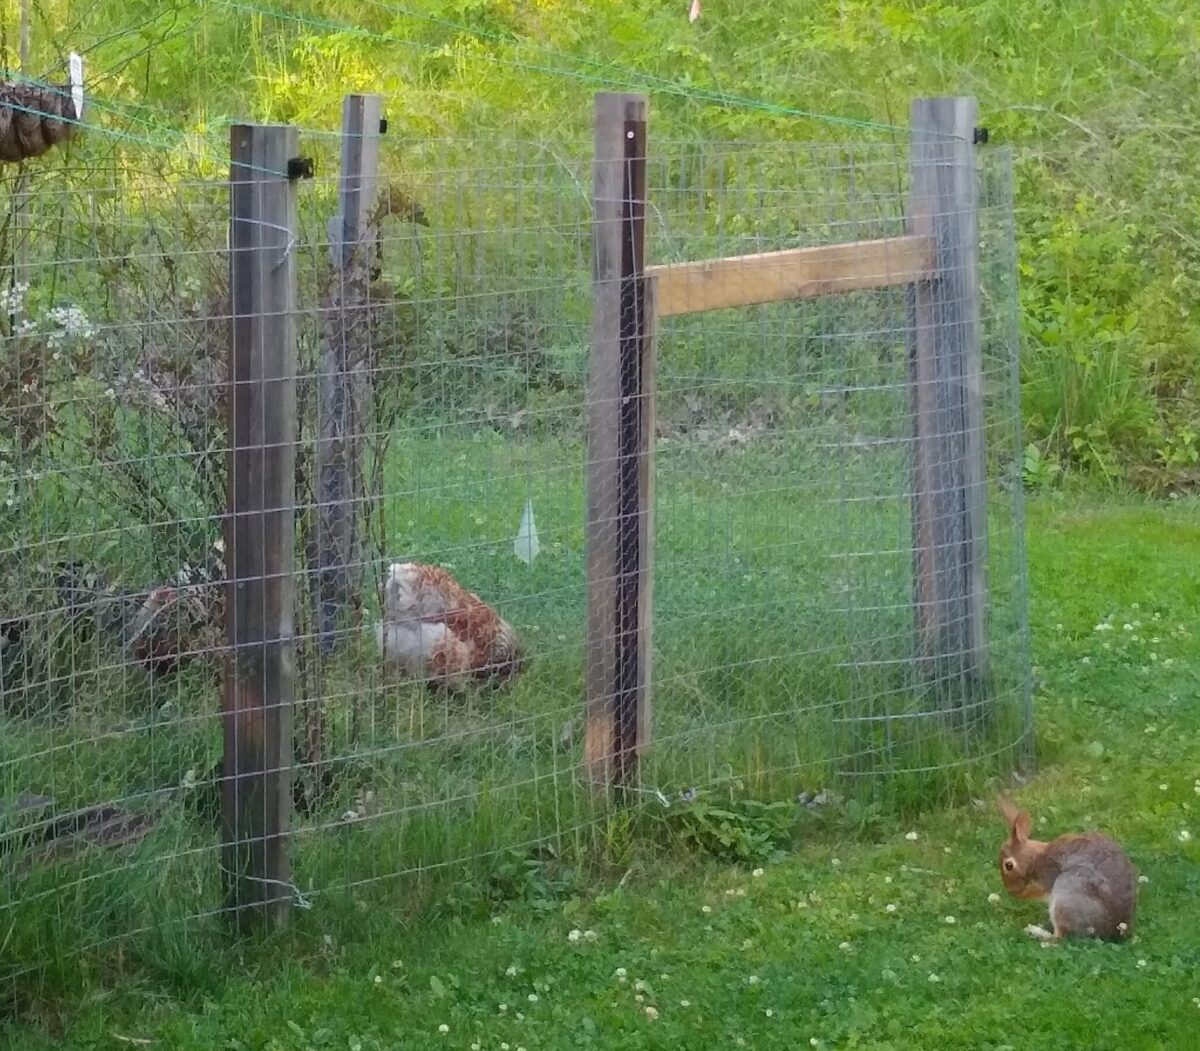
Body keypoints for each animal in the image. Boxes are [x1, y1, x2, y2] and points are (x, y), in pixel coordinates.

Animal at [997, 798, 1137, 943]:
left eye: (1009, 866)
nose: (1011, 890)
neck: (1034, 858)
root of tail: (1116, 929)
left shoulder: (1048, 875)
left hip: (1068, 890)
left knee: (1058, 938)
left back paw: (1034, 931)